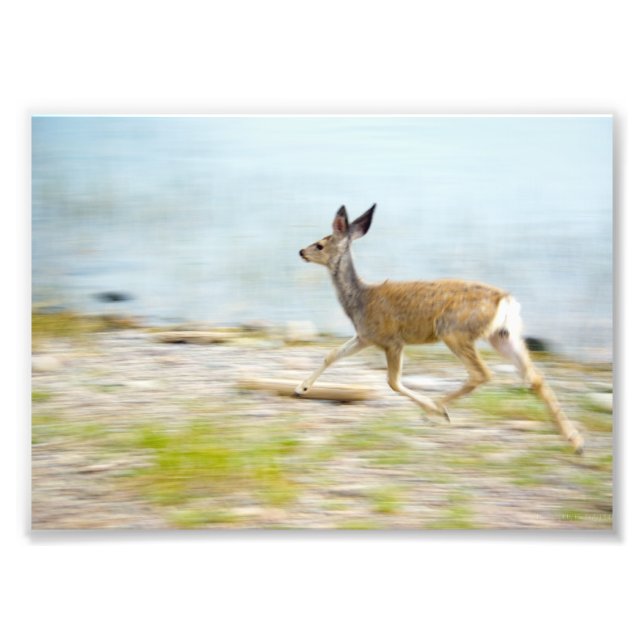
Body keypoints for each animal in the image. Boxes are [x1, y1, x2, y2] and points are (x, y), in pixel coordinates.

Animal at [296, 204, 584, 454]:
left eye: (320, 244)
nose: (301, 251)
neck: (360, 299)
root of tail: (506, 301)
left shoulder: (391, 340)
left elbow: (393, 382)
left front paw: (435, 411)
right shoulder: (365, 337)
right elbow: (332, 354)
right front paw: (301, 388)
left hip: (455, 331)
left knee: (482, 373)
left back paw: (436, 410)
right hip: (503, 335)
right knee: (534, 377)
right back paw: (576, 441)